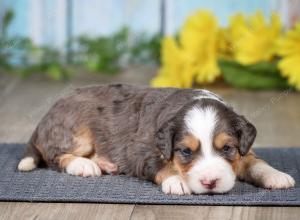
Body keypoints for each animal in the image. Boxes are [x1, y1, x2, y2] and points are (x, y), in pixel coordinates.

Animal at [18, 84, 296, 194]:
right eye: (185, 152)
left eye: (227, 148)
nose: (210, 182)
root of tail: (46, 115)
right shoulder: (141, 150)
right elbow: (161, 166)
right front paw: (177, 181)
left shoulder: (244, 148)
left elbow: (254, 161)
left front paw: (276, 176)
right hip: (77, 133)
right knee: (54, 155)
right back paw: (84, 165)